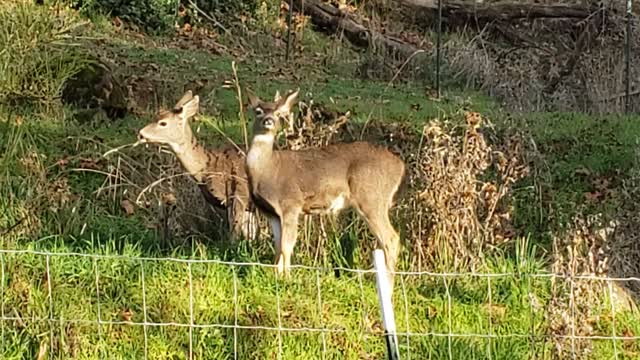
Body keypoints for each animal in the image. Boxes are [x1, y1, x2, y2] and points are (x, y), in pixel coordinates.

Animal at [138, 90, 258, 242]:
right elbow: (250, 235)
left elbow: (235, 234)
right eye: (155, 116)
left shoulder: (238, 196)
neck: (208, 167)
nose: (140, 134)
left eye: (163, 123)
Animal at [245, 88, 404, 292]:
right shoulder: (271, 212)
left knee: (391, 238)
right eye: (258, 111)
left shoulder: (291, 204)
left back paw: (388, 288)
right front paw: (276, 276)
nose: (269, 120)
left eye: (279, 114)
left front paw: (287, 280)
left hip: (371, 198)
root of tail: (400, 167)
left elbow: (287, 246)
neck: (267, 170)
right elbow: (278, 246)